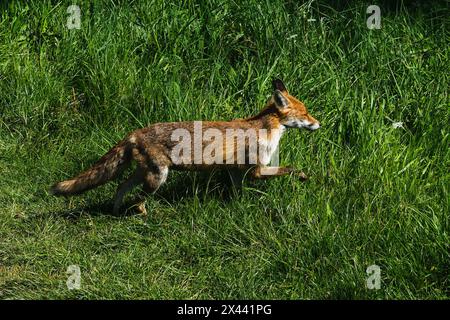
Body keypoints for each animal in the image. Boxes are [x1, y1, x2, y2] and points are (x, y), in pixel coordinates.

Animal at [51, 79, 320, 215]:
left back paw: (116, 210)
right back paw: (141, 214)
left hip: (145, 174)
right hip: (157, 178)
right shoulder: (257, 169)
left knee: (121, 186)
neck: (264, 127)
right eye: (306, 113)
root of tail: (135, 133)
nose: (319, 123)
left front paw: (237, 206)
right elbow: (291, 169)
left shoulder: (235, 170)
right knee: (137, 199)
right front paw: (303, 175)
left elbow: (237, 191)